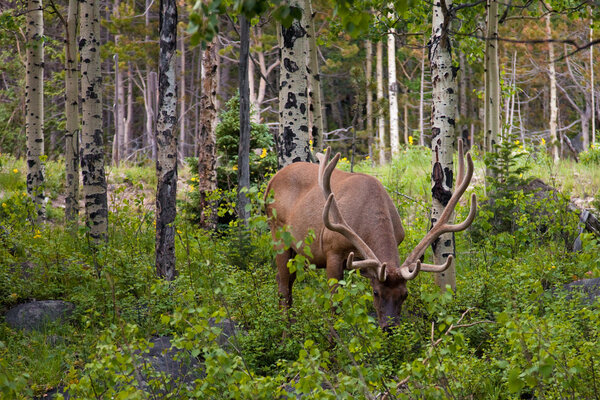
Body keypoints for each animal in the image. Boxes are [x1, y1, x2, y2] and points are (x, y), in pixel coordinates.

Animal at [264, 142, 476, 330]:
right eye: (376, 292)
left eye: (405, 295)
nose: (389, 328)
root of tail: (270, 182)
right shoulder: (333, 250)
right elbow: (335, 306)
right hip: (277, 232)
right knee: (283, 287)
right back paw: (285, 335)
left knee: (287, 282)